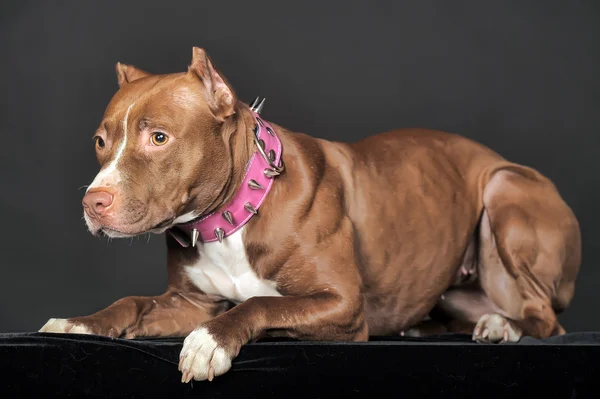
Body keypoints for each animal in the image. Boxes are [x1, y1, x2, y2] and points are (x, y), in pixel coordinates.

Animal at [38, 47, 580, 384]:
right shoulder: (188, 303)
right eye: (100, 142)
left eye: (158, 137)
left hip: (505, 189)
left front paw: (210, 343)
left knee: (545, 318)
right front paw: (80, 323)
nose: (93, 201)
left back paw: (501, 327)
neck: (234, 215)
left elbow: (260, 305)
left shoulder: (341, 305)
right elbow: (130, 303)